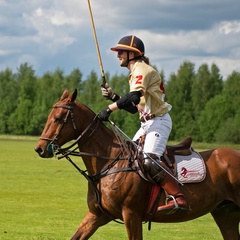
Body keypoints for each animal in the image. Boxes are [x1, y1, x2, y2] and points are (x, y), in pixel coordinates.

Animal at [34, 89, 240, 240]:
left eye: (58, 118)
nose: (40, 149)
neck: (108, 161)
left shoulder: (131, 214)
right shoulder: (97, 215)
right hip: (225, 212)